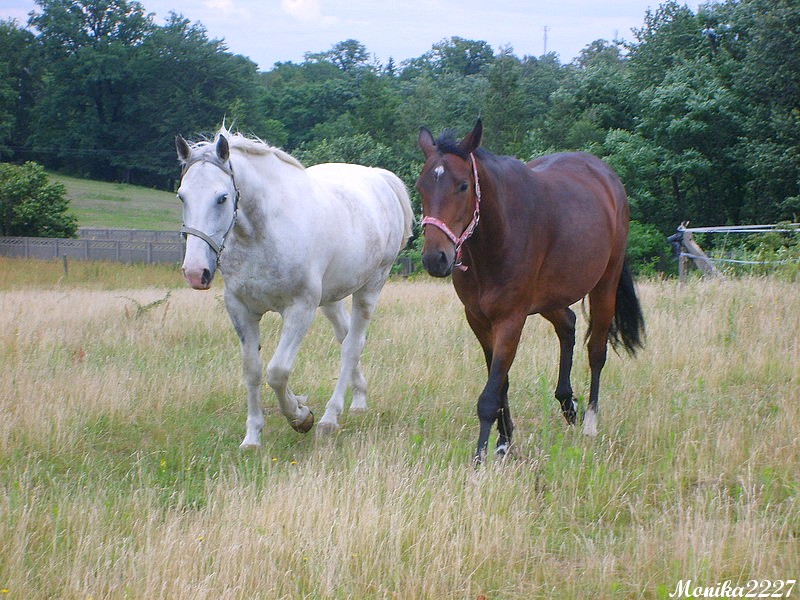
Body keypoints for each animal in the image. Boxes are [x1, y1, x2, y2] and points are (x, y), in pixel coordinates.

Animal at [175, 132, 412, 450]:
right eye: (182, 196)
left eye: (222, 198)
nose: (195, 272)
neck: (263, 233)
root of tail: (379, 178)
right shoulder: (241, 310)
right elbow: (252, 370)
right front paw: (253, 437)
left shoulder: (300, 309)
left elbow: (277, 372)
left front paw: (300, 416)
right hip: (331, 300)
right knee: (345, 337)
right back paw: (359, 400)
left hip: (370, 288)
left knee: (352, 347)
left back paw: (330, 418)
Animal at [416, 119, 648, 462]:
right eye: (421, 186)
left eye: (463, 186)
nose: (436, 258)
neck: (498, 236)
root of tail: (607, 177)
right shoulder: (479, 320)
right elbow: (501, 384)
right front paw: (504, 442)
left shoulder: (511, 319)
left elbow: (490, 394)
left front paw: (480, 457)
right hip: (550, 297)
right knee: (568, 324)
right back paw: (568, 403)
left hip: (604, 285)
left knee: (596, 350)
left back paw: (590, 422)